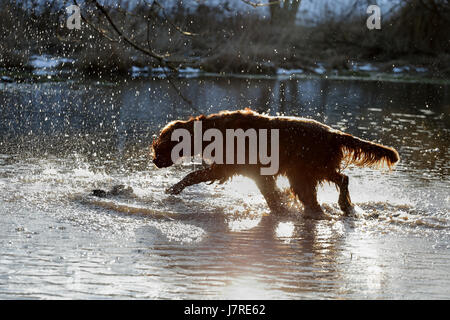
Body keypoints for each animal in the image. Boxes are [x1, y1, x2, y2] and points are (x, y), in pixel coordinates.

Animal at [153, 109, 400, 219]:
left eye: (159, 146)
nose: (154, 160)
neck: (210, 131)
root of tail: (333, 133)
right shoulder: (255, 173)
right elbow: (272, 194)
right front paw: (280, 208)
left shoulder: (227, 169)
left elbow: (191, 176)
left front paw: (173, 189)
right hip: (305, 173)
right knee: (330, 187)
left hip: (309, 170)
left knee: (340, 181)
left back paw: (343, 205)